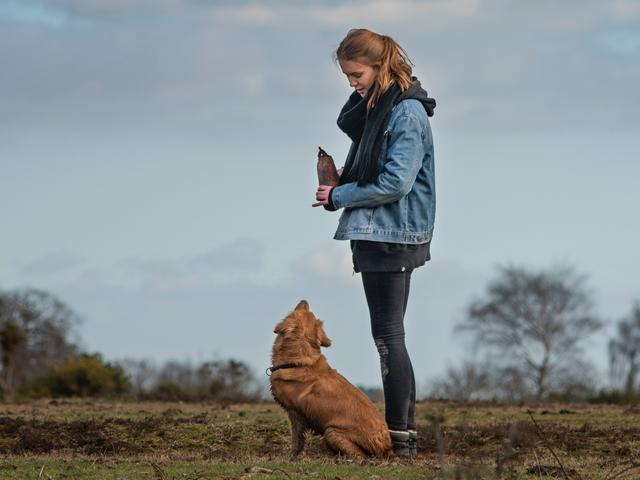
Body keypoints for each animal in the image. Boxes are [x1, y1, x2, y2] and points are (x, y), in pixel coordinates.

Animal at [268, 300, 392, 458]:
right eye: (308, 311)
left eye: (300, 310)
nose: (305, 300)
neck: (298, 362)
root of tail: (387, 446)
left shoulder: (295, 412)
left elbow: (297, 440)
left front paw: (291, 457)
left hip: (331, 432)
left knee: (361, 456)